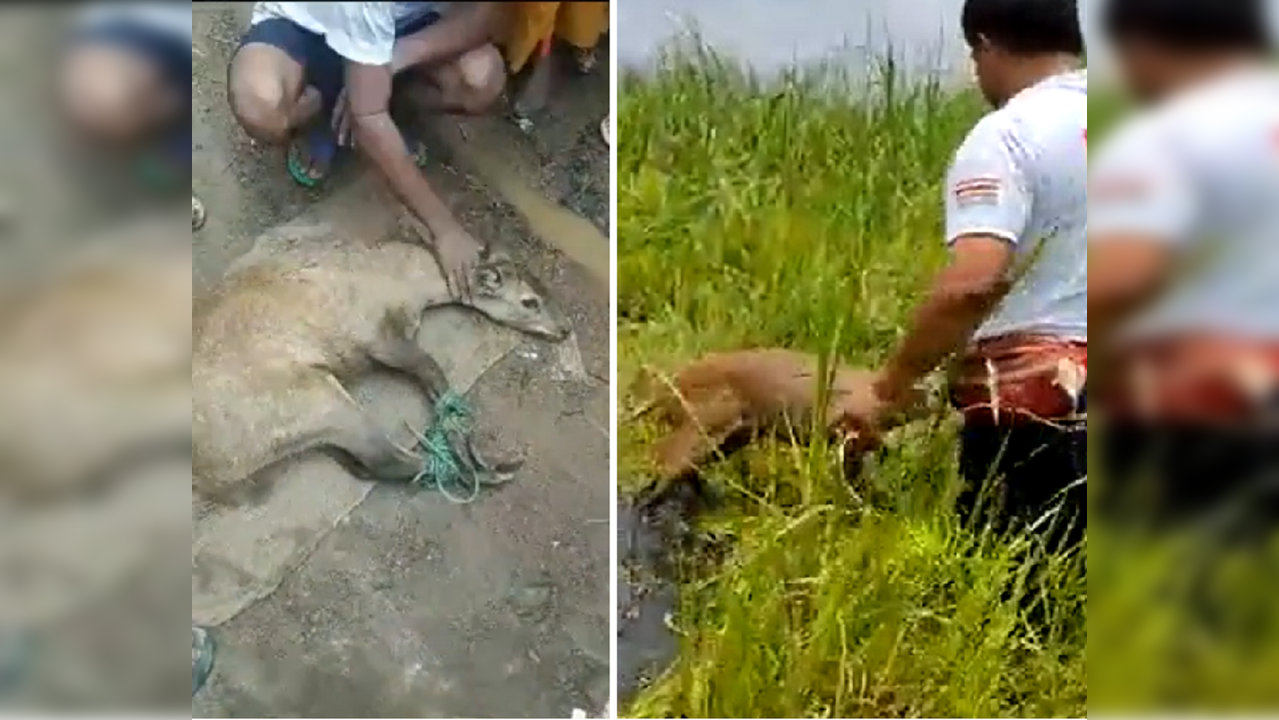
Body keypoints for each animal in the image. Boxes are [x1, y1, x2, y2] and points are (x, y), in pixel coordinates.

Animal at [190, 225, 570, 506]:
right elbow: (435, 373)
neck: (409, 279)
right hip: (313, 396)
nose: (565, 328)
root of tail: (207, 474)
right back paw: (487, 471)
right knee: (384, 458)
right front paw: (474, 450)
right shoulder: (380, 337)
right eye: (530, 301)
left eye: (544, 290)